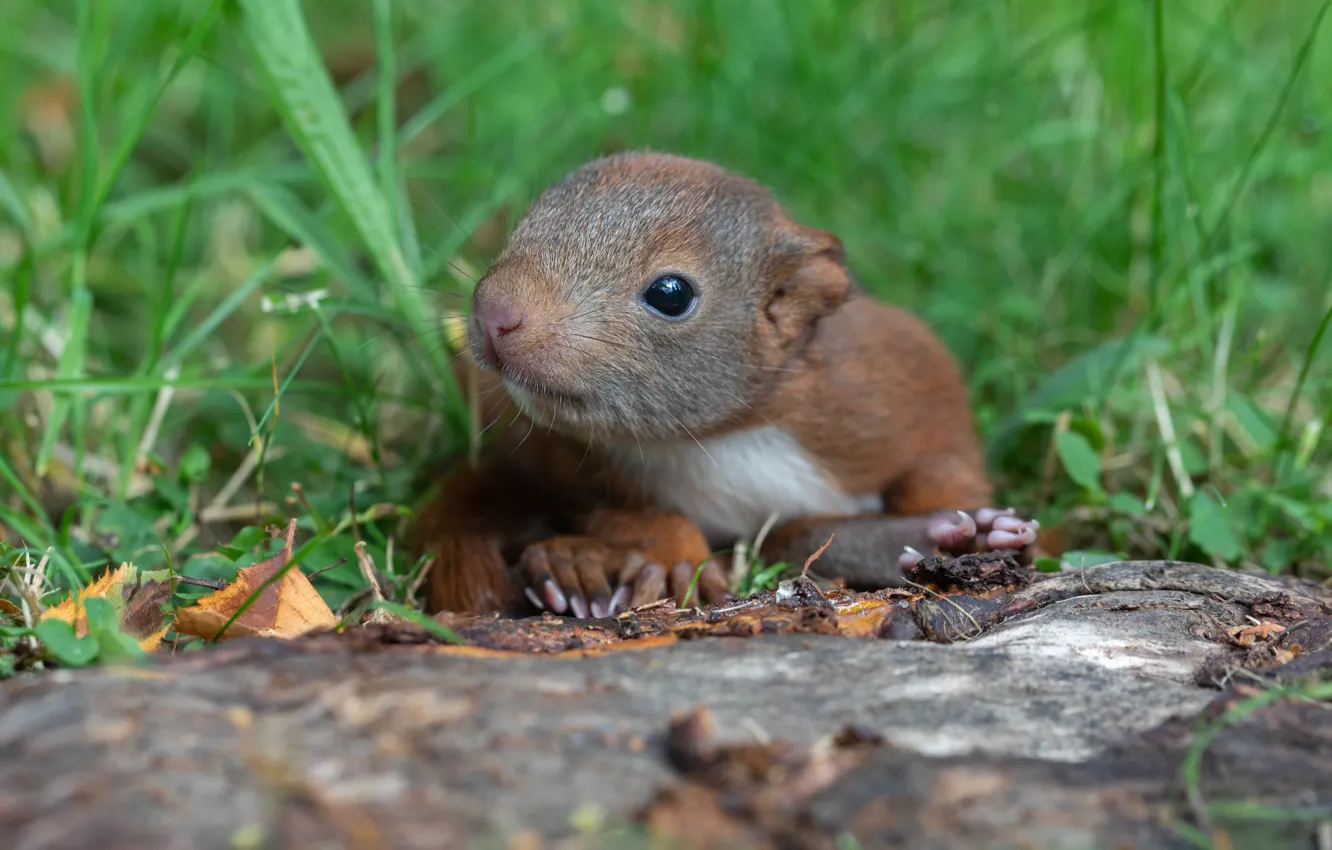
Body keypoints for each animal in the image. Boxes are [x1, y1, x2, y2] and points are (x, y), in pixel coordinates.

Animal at [413, 152, 1039, 619]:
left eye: (671, 294)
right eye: (526, 222)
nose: (493, 313)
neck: (719, 439)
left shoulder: (891, 395)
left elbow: (938, 468)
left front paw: (961, 531)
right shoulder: (567, 459)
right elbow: (619, 513)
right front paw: (673, 559)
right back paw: (573, 565)